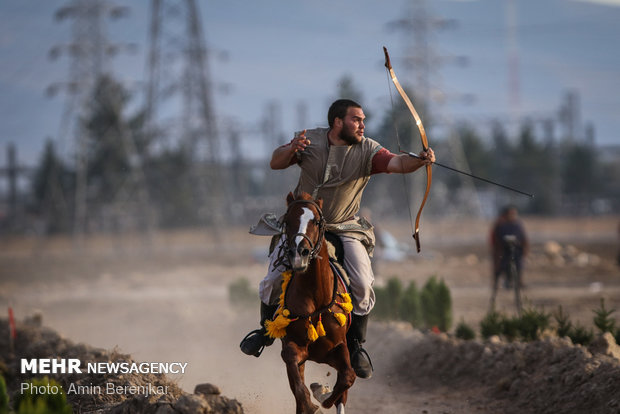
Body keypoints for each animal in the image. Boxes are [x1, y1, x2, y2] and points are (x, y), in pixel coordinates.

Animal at [266, 192, 358, 414]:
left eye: (316, 221)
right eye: (287, 222)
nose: (299, 254)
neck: (316, 298)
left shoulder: (339, 347)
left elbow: (348, 377)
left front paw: (322, 394)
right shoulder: (293, 348)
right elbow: (299, 390)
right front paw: (313, 401)